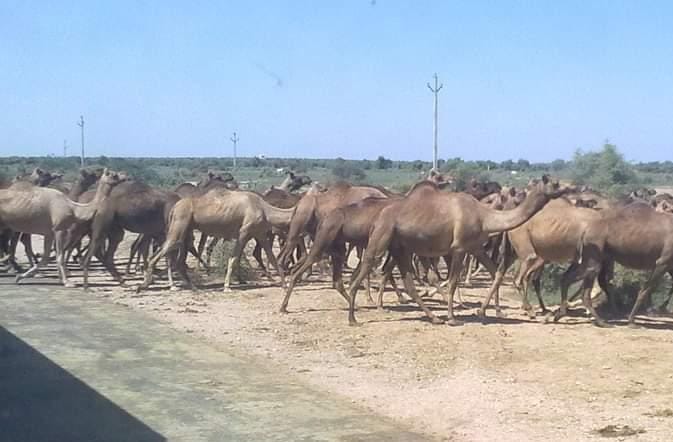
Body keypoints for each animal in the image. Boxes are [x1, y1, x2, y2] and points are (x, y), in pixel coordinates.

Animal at [138, 188, 292, 292]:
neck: (265, 210)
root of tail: (174, 207)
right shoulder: (244, 232)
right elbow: (233, 258)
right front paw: (227, 286)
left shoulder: (259, 233)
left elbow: (271, 257)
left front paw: (284, 285)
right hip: (179, 224)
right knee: (161, 252)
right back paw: (144, 285)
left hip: (185, 231)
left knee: (178, 258)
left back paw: (193, 287)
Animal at [346, 175, 572, 324]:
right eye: (555, 183)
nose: (571, 187)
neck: (484, 217)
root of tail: (379, 215)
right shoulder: (459, 248)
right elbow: (454, 281)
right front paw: (453, 317)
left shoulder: (476, 247)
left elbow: (495, 272)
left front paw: (494, 311)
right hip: (382, 237)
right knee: (368, 265)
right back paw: (353, 317)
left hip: (400, 247)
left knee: (405, 280)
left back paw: (433, 317)